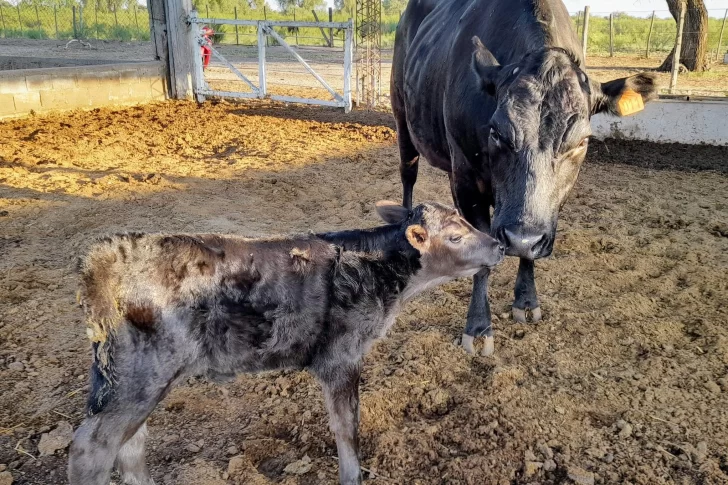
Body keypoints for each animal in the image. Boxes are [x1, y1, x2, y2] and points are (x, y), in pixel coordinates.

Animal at [68, 199, 504, 484]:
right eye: (454, 236)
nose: (500, 245)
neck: (377, 271)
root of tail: (104, 257)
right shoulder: (341, 356)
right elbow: (347, 429)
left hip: (129, 380)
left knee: (130, 444)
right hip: (145, 372)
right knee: (92, 448)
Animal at [392, 0, 660, 354]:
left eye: (582, 141)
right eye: (495, 132)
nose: (519, 237)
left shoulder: (549, 208)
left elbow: (532, 250)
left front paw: (527, 301)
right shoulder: (465, 181)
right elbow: (483, 257)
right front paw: (479, 328)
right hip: (401, 114)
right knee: (408, 171)